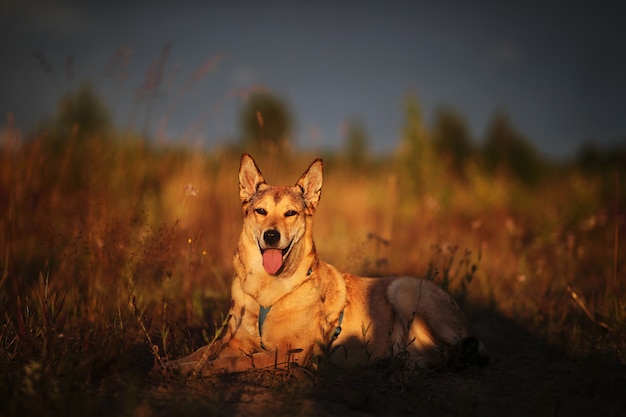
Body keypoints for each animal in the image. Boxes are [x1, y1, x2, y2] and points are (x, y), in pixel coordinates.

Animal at [167, 154, 488, 376]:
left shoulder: (292, 353)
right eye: (260, 211)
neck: (268, 291)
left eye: (291, 213)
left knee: (455, 353)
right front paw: (175, 363)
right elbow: (205, 349)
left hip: (404, 289)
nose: (271, 236)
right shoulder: (234, 339)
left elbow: (235, 361)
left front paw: (195, 370)